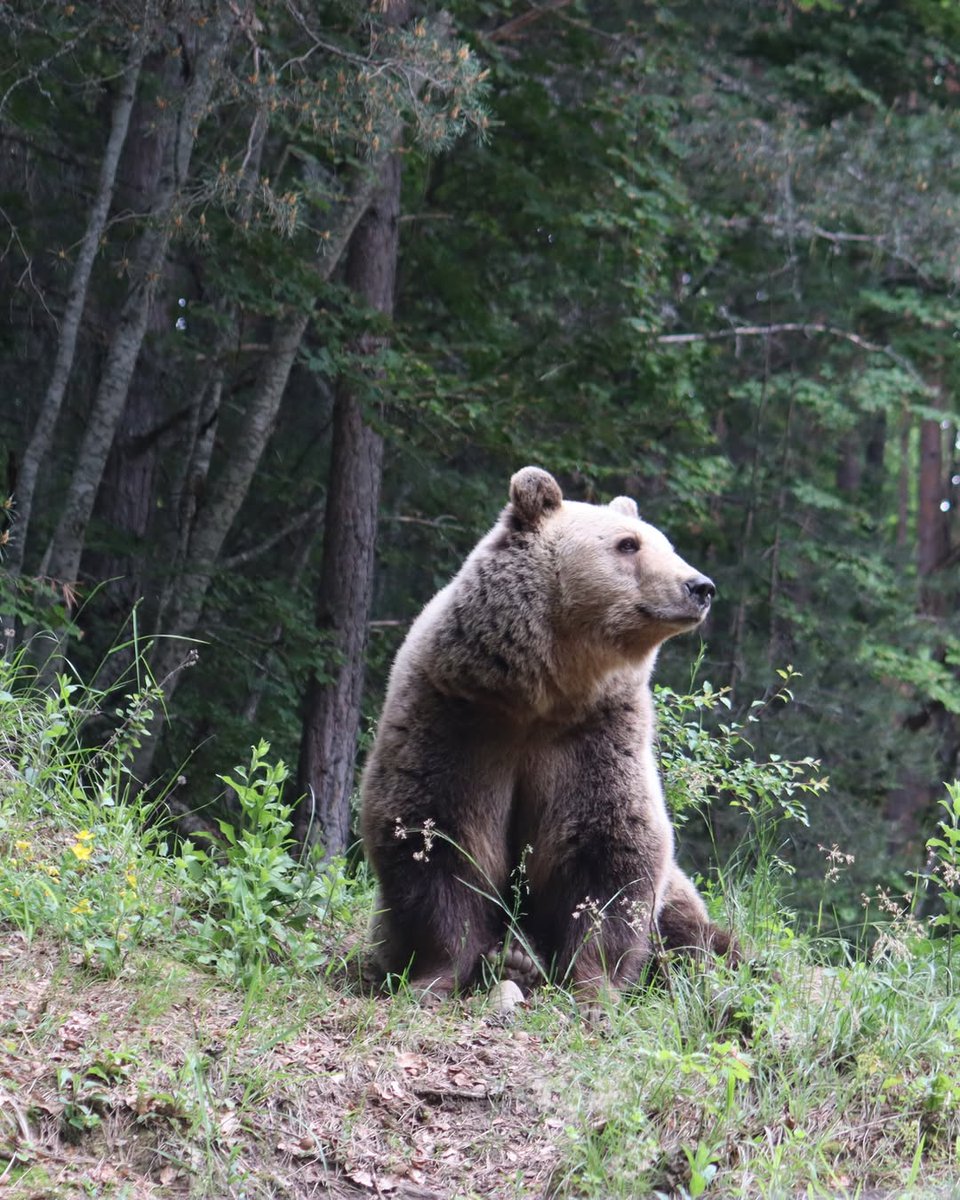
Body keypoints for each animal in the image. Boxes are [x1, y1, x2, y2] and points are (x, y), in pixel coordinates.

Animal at [360, 466, 735, 1004]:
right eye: (628, 544)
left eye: (664, 543)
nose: (700, 586)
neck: (539, 692)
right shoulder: (454, 719)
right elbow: (436, 838)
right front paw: (431, 977)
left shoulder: (595, 737)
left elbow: (610, 852)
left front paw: (594, 988)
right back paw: (514, 958)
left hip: (680, 900)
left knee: (692, 929)